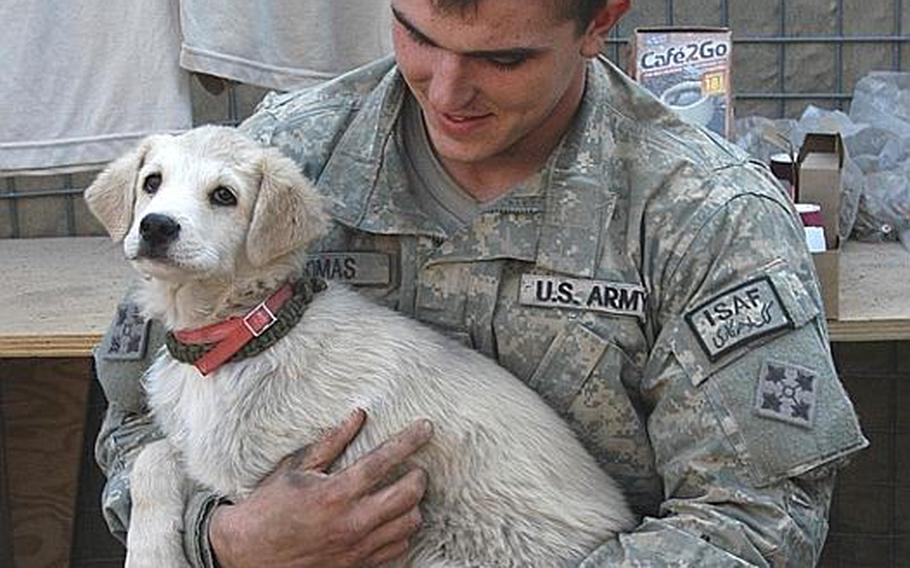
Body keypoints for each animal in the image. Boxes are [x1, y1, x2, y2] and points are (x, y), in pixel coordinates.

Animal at [89, 125, 636, 568]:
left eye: (224, 195)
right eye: (152, 182)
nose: (156, 226)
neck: (244, 334)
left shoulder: (249, 475)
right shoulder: (207, 451)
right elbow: (151, 456)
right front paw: (150, 550)